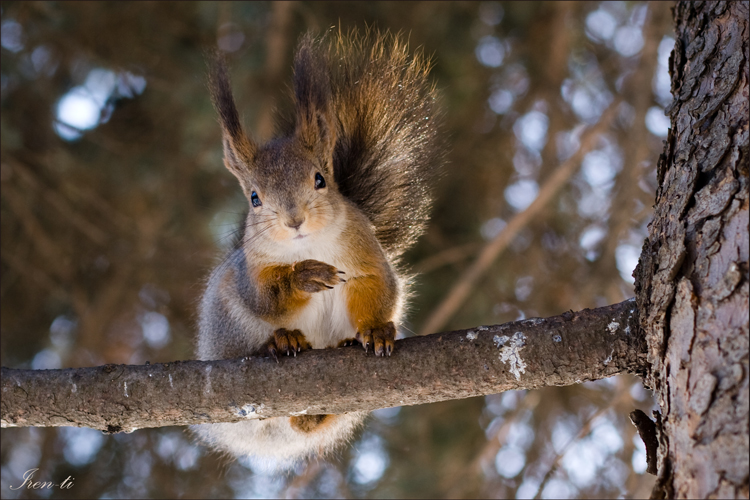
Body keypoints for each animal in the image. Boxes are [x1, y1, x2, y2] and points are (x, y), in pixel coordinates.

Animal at [191, 29, 444, 466]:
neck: (307, 246)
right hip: (225, 326)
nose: (294, 220)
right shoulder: (249, 272)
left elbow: (375, 283)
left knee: (308, 424)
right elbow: (265, 298)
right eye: (254, 198)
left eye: (320, 179)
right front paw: (305, 276)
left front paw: (375, 330)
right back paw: (279, 342)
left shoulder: (364, 250)